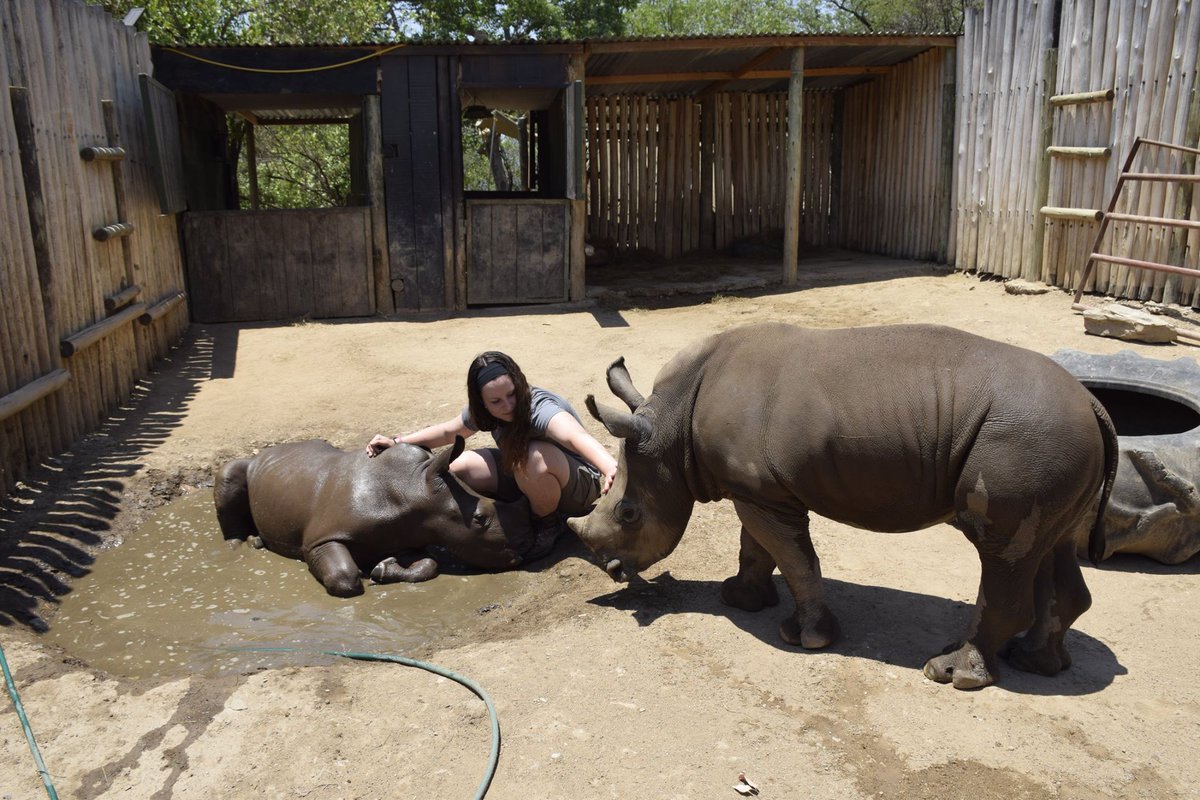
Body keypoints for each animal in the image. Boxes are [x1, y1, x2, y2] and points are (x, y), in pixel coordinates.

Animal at [214, 437, 537, 597]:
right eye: (481, 518)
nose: (524, 551)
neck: (414, 487)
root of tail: (263, 455)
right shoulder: (319, 540)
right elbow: (344, 576)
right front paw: (368, 572)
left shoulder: (410, 535)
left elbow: (429, 565)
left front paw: (381, 568)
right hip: (248, 466)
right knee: (229, 472)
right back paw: (243, 544)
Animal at [569, 323, 1118, 689]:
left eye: (628, 514)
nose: (612, 569)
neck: (670, 425)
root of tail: (1094, 404)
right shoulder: (756, 489)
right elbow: (757, 547)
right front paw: (739, 598)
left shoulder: (765, 495)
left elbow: (795, 559)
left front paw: (808, 639)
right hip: (1055, 443)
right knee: (1047, 547)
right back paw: (1035, 663)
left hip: (1028, 438)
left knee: (1001, 552)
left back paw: (947, 672)